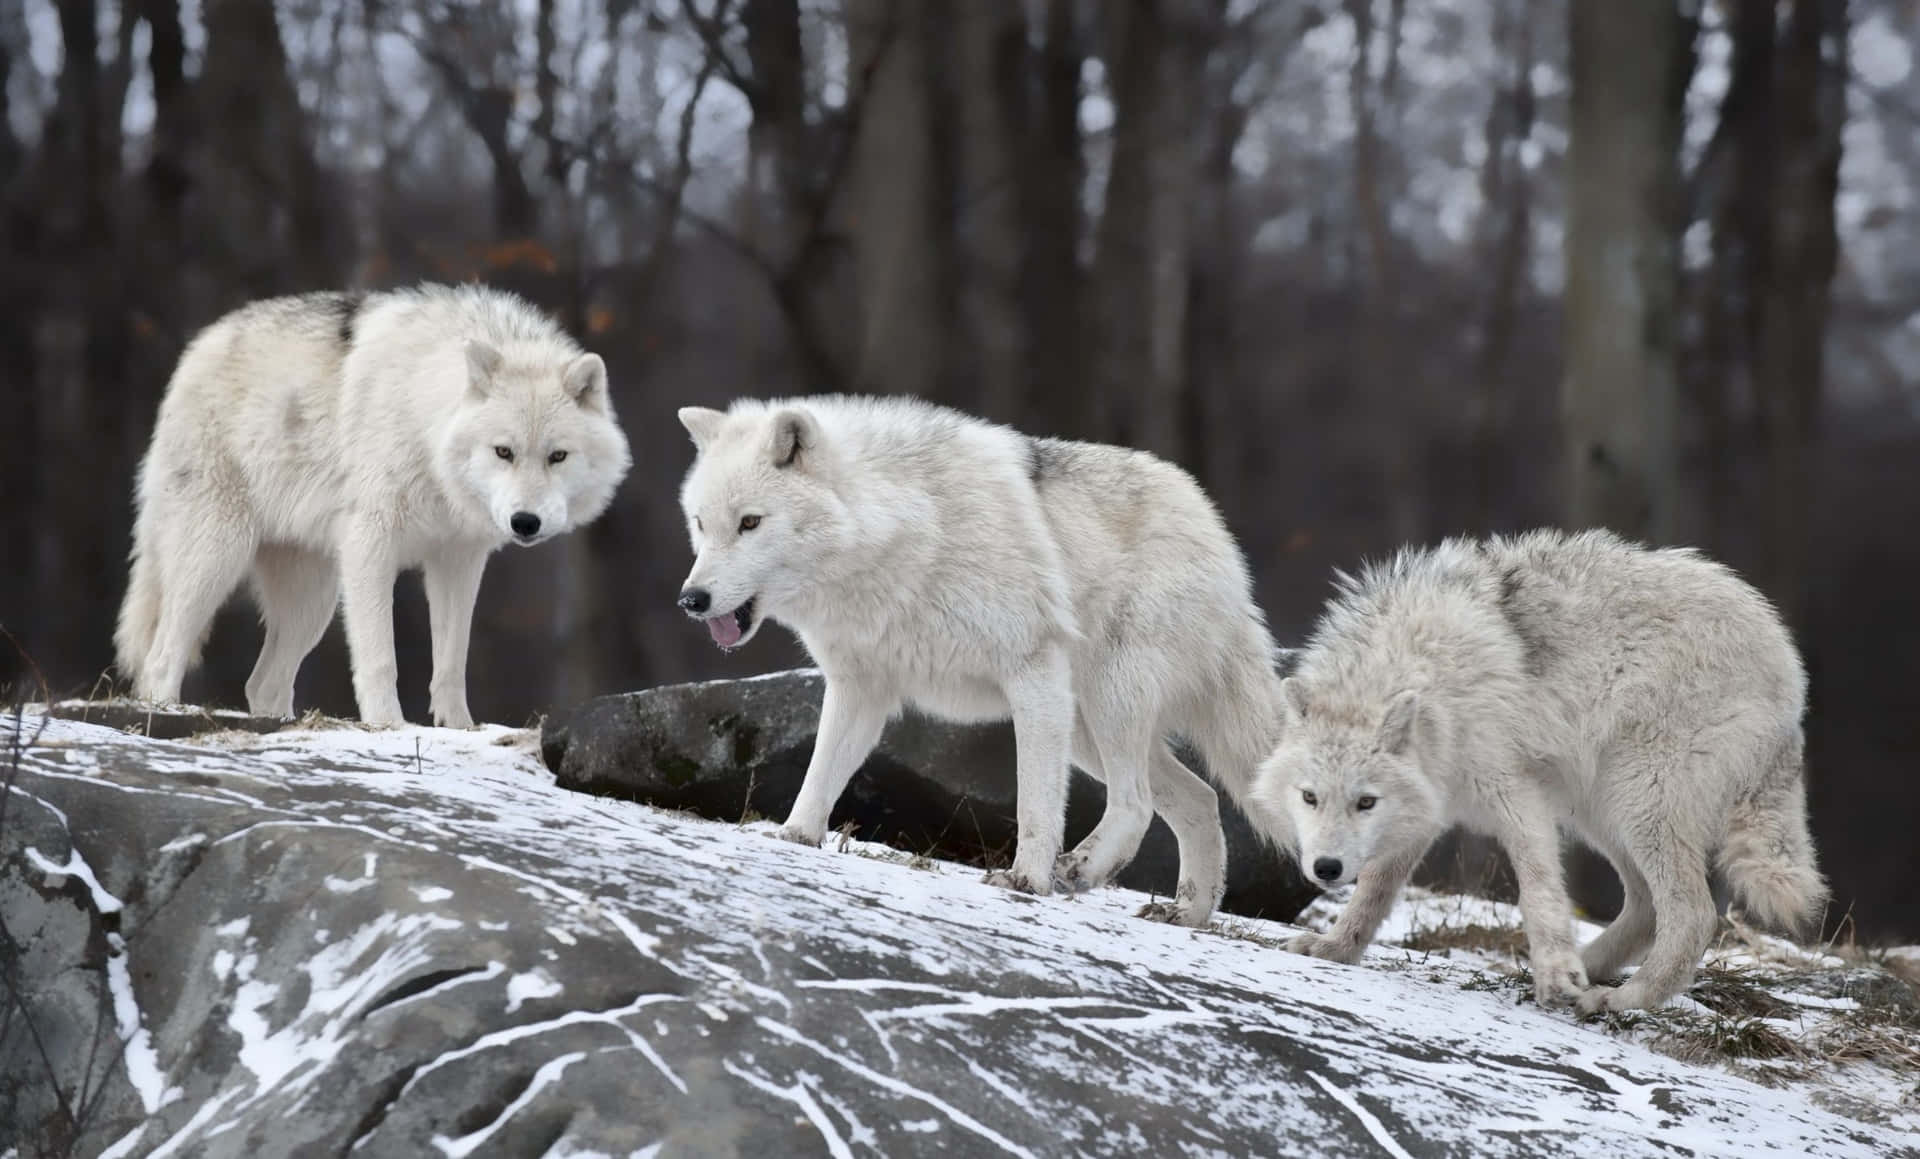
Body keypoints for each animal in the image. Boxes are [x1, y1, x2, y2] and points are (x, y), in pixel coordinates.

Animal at [115, 284, 631, 727]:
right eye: (503, 451)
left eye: (557, 456)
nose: (525, 522)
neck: (424, 420)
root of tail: (198, 348)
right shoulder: (371, 544)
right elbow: (381, 657)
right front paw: (388, 724)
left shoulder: (458, 559)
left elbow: (451, 663)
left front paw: (460, 729)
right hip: (218, 558)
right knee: (161, 658)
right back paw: (165, 711)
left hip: (313, 601)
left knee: (262, 683)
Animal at [674, 396, 1286, 924]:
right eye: (701, 523)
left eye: (750, 522)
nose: (691, 599)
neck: (903, 535)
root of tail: (1215, 530)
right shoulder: (860, 688)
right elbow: (820, 774)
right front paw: (795, 839)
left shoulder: (1033, 672)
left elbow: (1036, 801)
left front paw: (1026, 881)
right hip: (1085, 727)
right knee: (1200, 798)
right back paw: (1188, 913)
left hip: (1106, 702)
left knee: (1135, 802)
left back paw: (1081, 871)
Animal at [1249, 530, 1825, 1012]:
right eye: (1309, 797)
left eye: (1365, 802)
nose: (1325, 868)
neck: (1431, 675)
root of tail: (1790, 667)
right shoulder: (1427, 807)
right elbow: (1374, 890)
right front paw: (1335, 948)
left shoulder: (1515, 793)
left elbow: (1539, 890)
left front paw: (1556, 974)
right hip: (1601, 811)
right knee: (1645, 909)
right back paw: (1586, 971)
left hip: (1637, 802)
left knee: (1692, 916)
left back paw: (1620, 999)